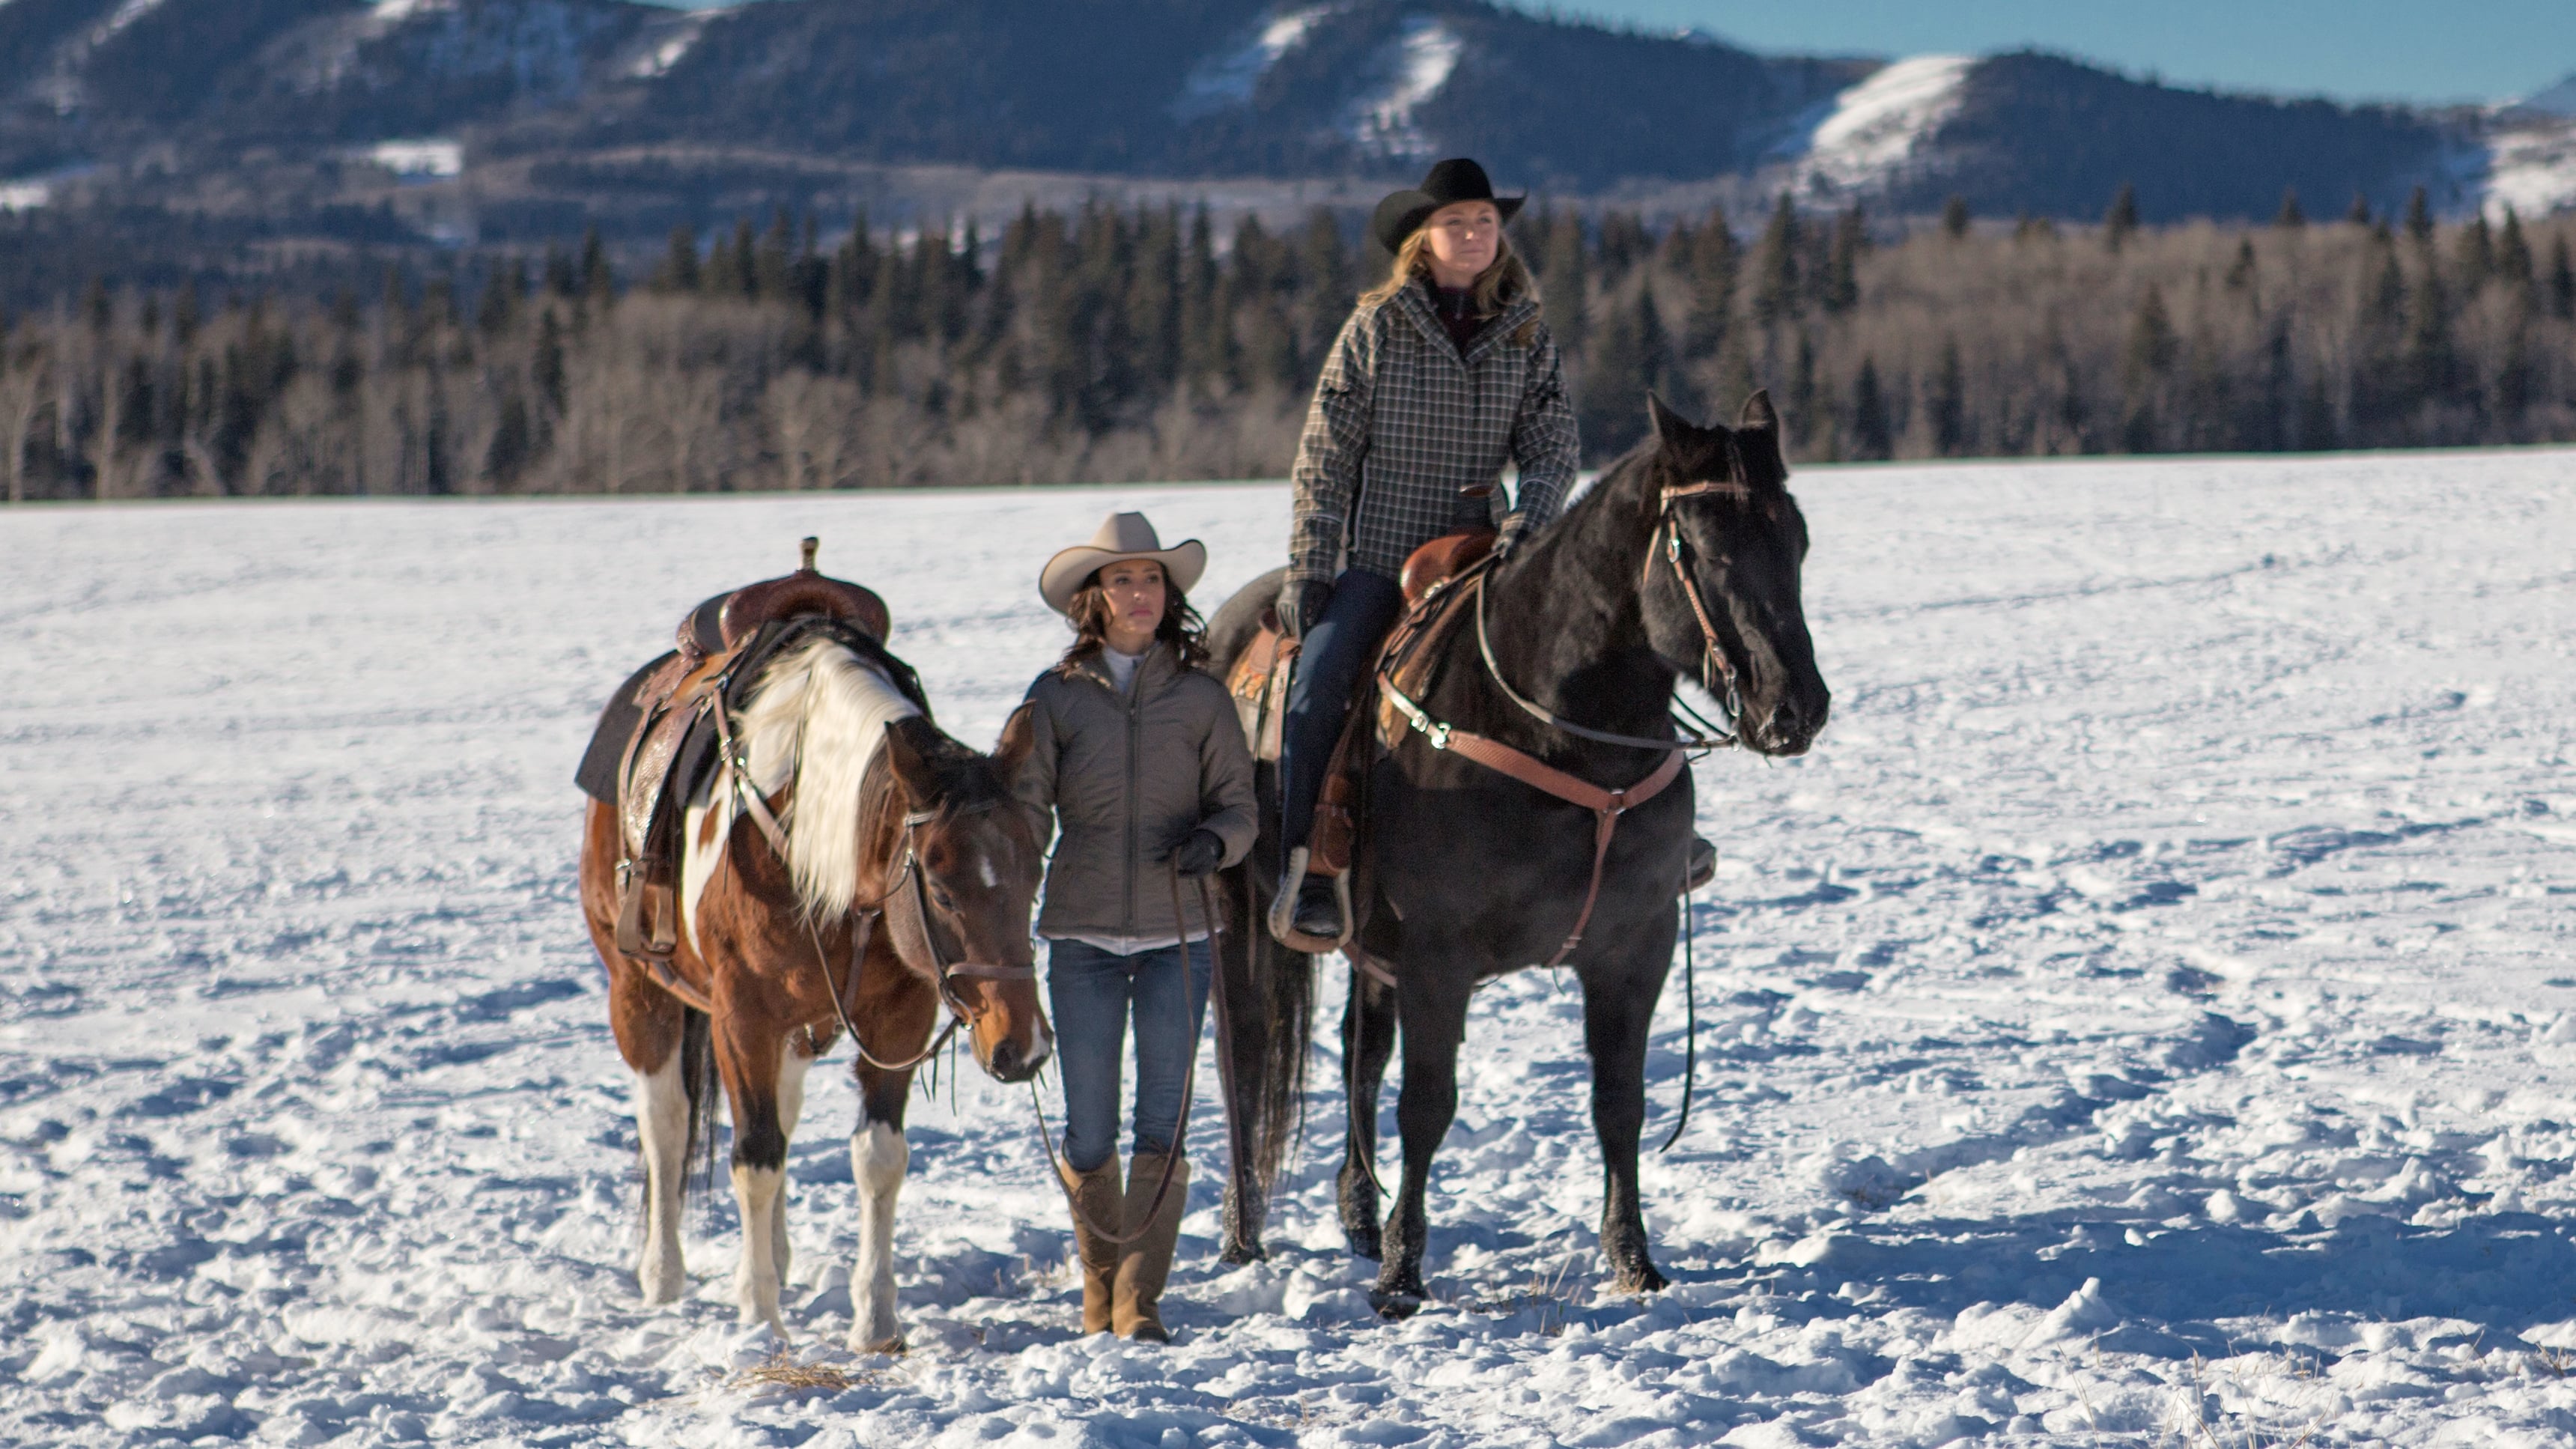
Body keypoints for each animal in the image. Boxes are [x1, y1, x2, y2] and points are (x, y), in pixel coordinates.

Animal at [580, 631, 1051, 1340]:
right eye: (941, 890)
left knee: (781, 1109)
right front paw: (760, 1319)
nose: (1023, 1047)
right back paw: (663, 1273)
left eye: (1036, 874)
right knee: (666, 1121)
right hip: (638, 989)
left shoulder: (899, 1016)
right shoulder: (741, 1018)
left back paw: (776, 1251)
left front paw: (875, 1319)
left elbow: (879, 1156)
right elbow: (755, 1159)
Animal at [1205, 392, 1834, 1299]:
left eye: (1796, 540)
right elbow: (1428, 1104)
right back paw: (1243, 1234)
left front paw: (1633, 1258)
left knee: (1361, 1053)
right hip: (1240, 915)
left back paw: (1357, 1218)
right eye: (1711, 550)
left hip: (1370, 948)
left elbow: (1619, 1103)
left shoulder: (1634, 945)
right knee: (1245, 1058)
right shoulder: (1440, 954)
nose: (1797, 708)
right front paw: (1402, 1275)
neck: (1561, 730)